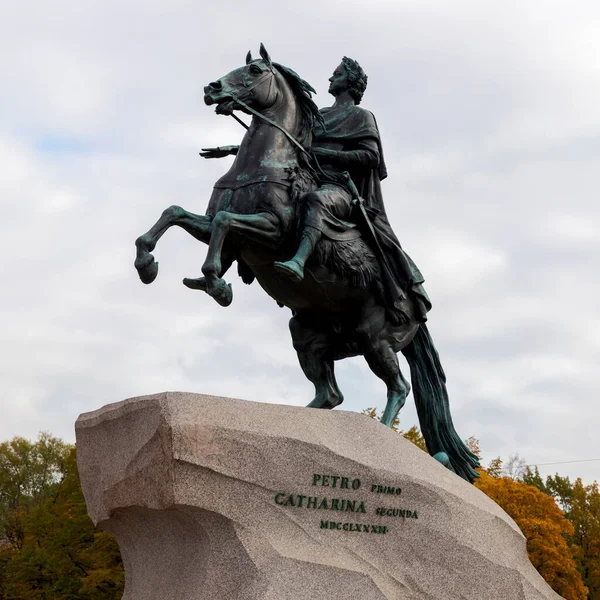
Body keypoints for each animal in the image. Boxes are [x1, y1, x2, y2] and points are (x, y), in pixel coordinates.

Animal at [135, 45, 478, 482]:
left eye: (255, 71)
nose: (212, 89)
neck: (262, 165)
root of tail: (419, 312)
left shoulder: (270, 232)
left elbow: (226, 224)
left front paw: (217, 283)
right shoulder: (219, 233)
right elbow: (175, 213)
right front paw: (148, 263)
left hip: (375, 339)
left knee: (398, 388)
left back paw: (383, 443)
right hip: (306, 334)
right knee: (330, 394)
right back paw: (293, 424)